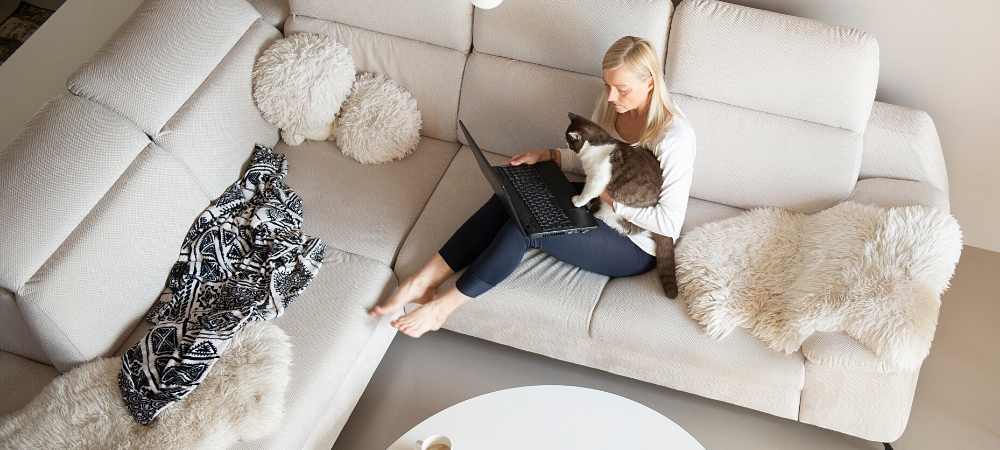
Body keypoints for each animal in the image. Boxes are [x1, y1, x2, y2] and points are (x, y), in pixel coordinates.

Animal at [564, 110, 680, 298]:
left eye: (569, 140)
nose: (565, 144)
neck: (598, 144)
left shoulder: (597, 179)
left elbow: (588, 192)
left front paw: (578, 201)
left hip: (618, 214)